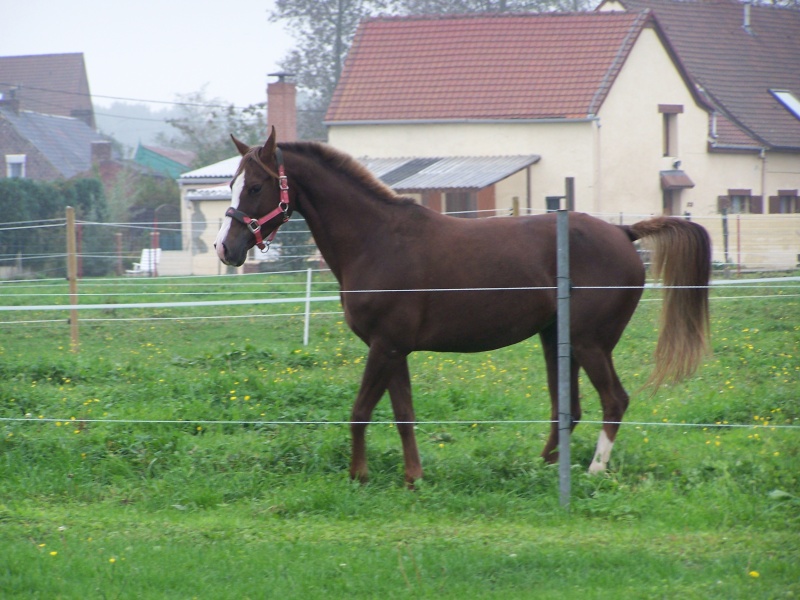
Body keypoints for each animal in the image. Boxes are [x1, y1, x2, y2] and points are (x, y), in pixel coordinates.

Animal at [216, 129, 708, 486]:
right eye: (232, 184)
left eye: (255, 186)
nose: (226, 248)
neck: (377, 239)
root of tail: (625, 234)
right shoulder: (395, 350)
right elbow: (404, 415)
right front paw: (413, 478)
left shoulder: (384, 346)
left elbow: (359, 412)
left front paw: (359, 476)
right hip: (556, 340)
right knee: (567, 408)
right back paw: (543, 468)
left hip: (590, 344)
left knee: (614, 401)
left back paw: (593, 471)